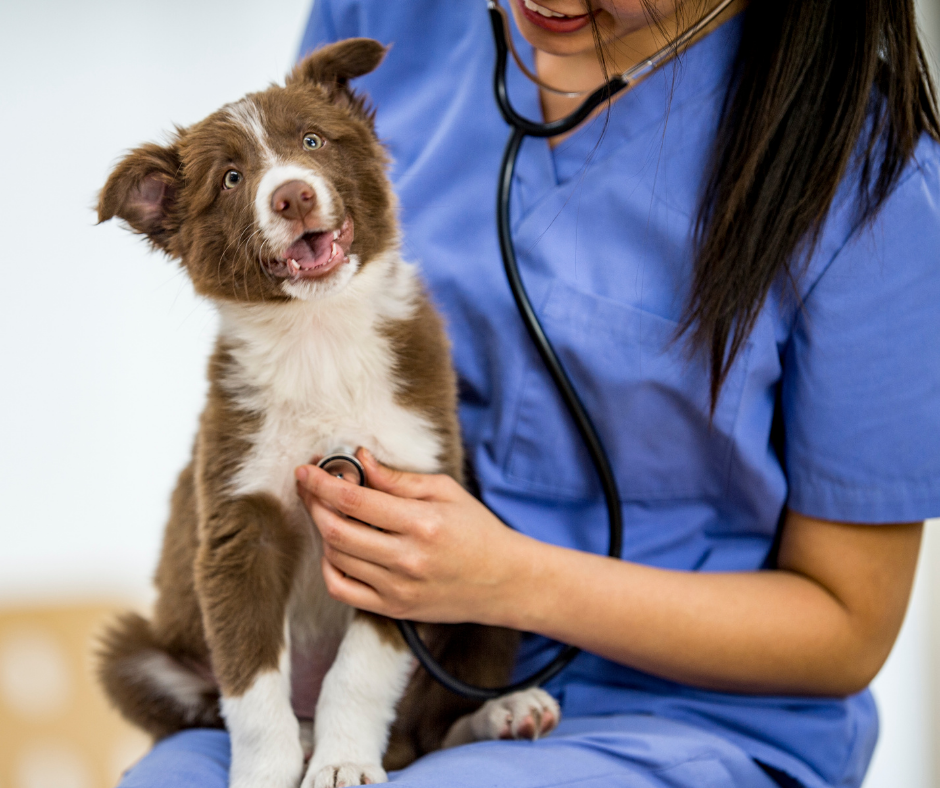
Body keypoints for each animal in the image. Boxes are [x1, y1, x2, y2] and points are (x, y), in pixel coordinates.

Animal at [97, 37, 560, 788]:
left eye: (312, 141)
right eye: (231, 179)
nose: (293, 194)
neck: (318, 339)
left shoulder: (402, 516)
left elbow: (362, 670)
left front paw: (345, 762)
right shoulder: (241, 523)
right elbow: (252, 685)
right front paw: (267, 773)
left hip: (492, 580)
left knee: (429, 728)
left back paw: (503, 713)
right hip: (134, 652)